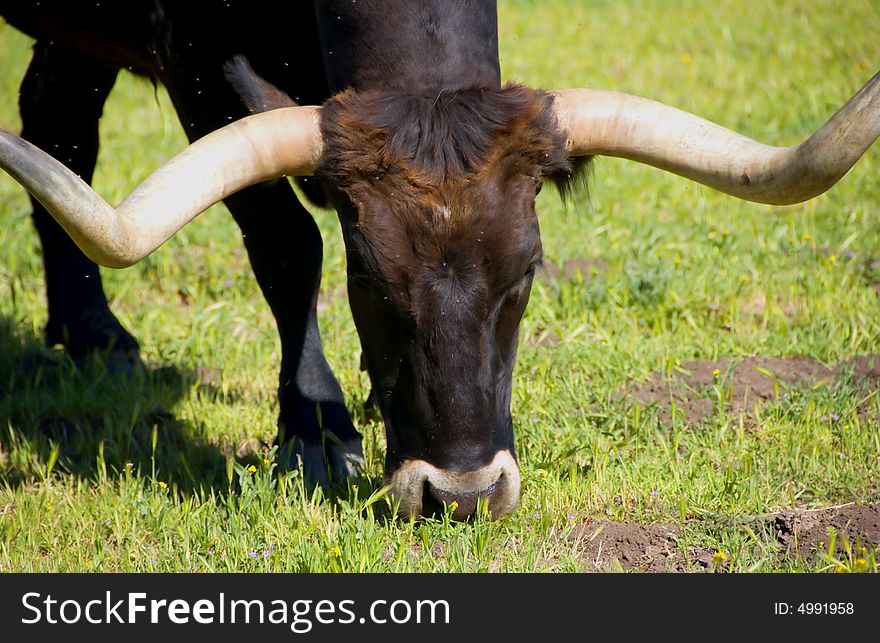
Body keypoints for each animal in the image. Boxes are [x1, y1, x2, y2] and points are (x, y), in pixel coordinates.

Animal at [1, 0, 880, 520]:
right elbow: (287, 243)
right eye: (367, 277)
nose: (461, 492)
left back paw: (93, 333)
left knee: (57, 119)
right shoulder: (191, 59)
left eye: (525, 273)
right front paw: (315, 427)